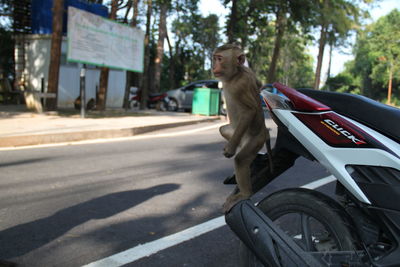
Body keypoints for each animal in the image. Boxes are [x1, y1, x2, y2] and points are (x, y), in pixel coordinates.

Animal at [212, 44, 272, 214]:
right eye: (215, 58)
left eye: (220, 59)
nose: (213, 66)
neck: (234, 76)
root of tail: (264, 133)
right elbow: (259, 84)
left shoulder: (241, 86)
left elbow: (249, 112)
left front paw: (230, 150)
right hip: (238, 134)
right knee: (224, 130)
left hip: (255, 140)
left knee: (241, 160)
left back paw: (245, 193)